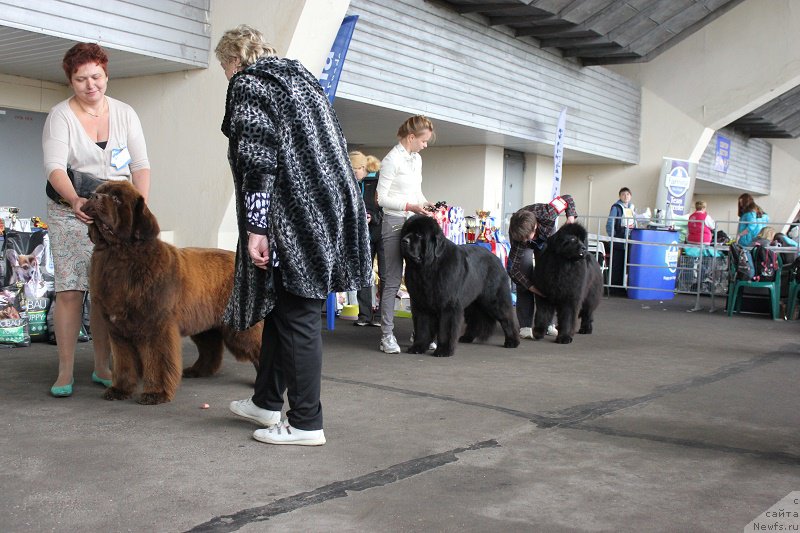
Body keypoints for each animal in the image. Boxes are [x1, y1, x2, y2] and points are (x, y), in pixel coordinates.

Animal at [83, 180, 260, 404]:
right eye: (99, 192)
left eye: (116, 199)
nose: (92, 196)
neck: (119, 255)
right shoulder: (118, 331)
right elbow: (124, 362)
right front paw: (119, 389)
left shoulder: (156, 326)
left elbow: (157, 361)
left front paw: (155, 393)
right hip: (203, 322)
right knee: (210, 347)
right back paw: (197, 370)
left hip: (239, 326)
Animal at [400, 214, 520, 356]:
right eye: (405, 232)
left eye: (419, 235)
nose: (404, 241)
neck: (428, 268)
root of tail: (496, 258)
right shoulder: (420, 304)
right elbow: (422, 327)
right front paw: (418, 347)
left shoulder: (449, 305)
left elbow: (446, 329)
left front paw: (444, 350)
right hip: (472, 302)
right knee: (475, 319)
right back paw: (467, 337)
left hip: (493, 299)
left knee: (507, 317)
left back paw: (512, 341)